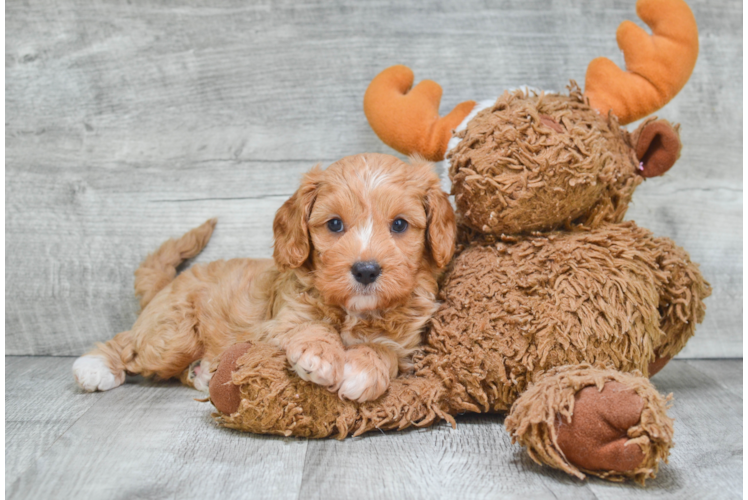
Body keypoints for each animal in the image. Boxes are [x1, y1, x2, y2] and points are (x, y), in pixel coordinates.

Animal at [73, 152, 456, 402]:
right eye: (334, 224)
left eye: (400, 225)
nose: (366, 270)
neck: (356, 312)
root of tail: (166, 286)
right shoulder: (274, 325)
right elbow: (310, 326)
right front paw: (319, 355)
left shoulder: (408, 347)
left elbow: (385, 351)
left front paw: (362, 370)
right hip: (172, 335)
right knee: (129, 342)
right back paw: (96, 366)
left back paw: (202, 373)